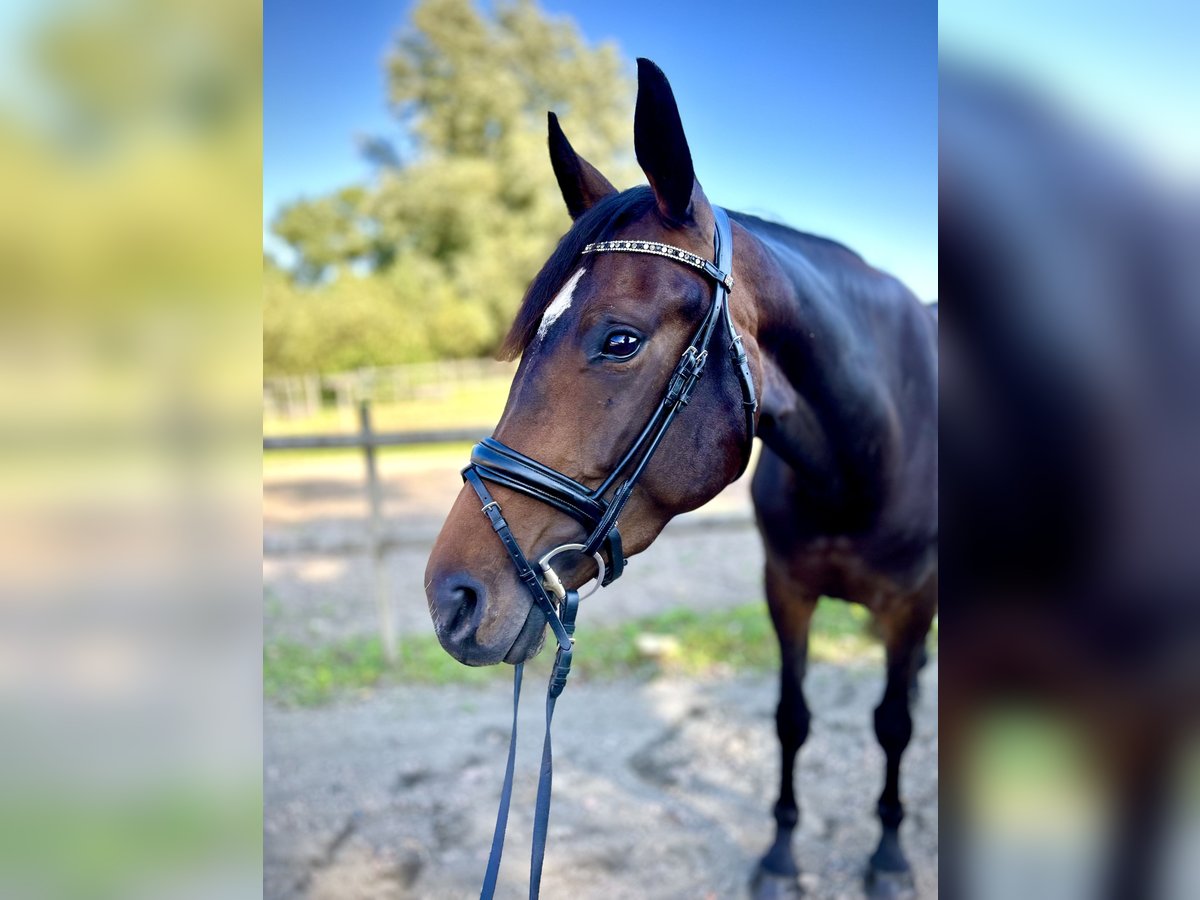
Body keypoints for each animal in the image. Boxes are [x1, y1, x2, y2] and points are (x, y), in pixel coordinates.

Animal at [422, 60, 936, 897]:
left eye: (620, 340)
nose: (452, 599)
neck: (864, 453)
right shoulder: (786, 589)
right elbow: (791, 718)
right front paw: (779, 854)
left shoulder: (910, 602)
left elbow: (892, 724)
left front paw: (888, 855)